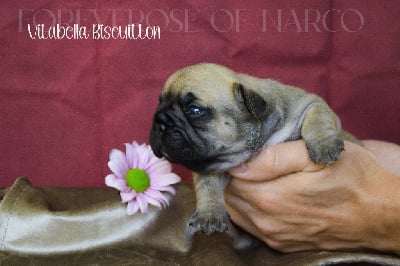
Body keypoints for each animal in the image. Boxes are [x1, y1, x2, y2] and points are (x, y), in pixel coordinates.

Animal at [149, 62, 354, 249]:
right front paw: (210, 213)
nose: (159, 121)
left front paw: (324, 145)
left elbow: (317, 117)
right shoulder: (209, 164)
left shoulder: (311, 104)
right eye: (159, 103)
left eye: (194, 110)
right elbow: (207, 185)